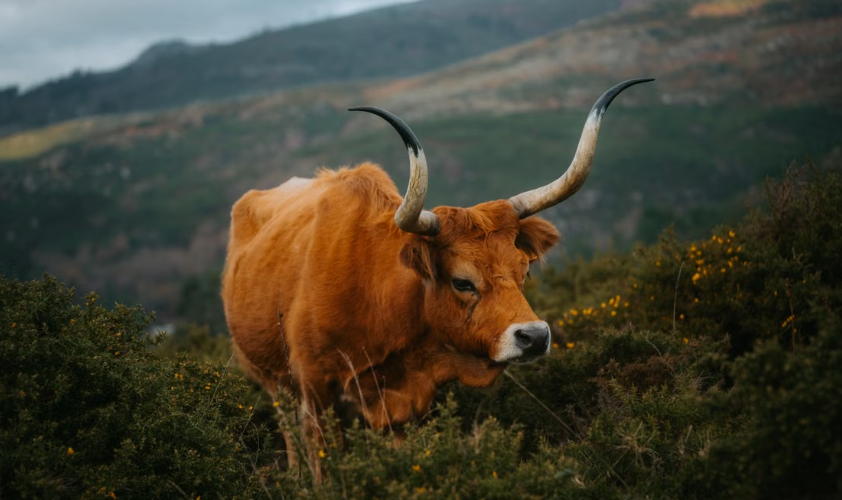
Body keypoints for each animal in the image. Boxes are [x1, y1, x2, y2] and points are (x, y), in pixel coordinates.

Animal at [221, 79, 652, 465]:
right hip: (276, 385)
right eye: (462, 281)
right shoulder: (314, 391)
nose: (534, 337)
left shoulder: (405, 409)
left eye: (524, 272)